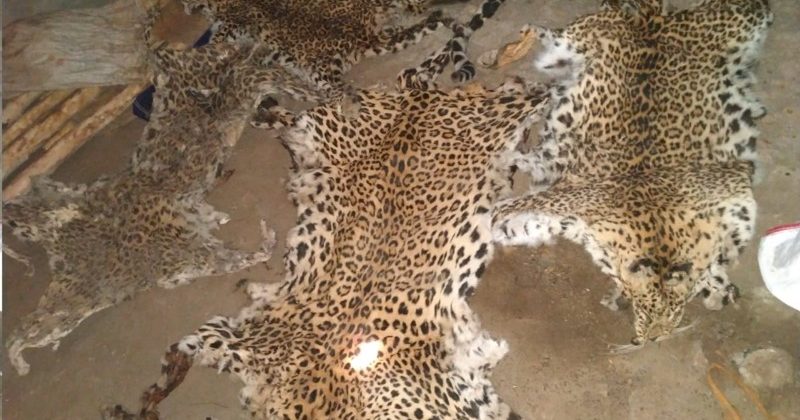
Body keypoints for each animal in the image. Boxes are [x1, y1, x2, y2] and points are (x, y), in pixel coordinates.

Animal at [490, 0, 773, 348]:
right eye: (648, 311)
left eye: (673, 316)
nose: (651, 340)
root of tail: (651, 20)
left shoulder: (732, 182)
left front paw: (719, 284)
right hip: (574, 40)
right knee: (549, 38)